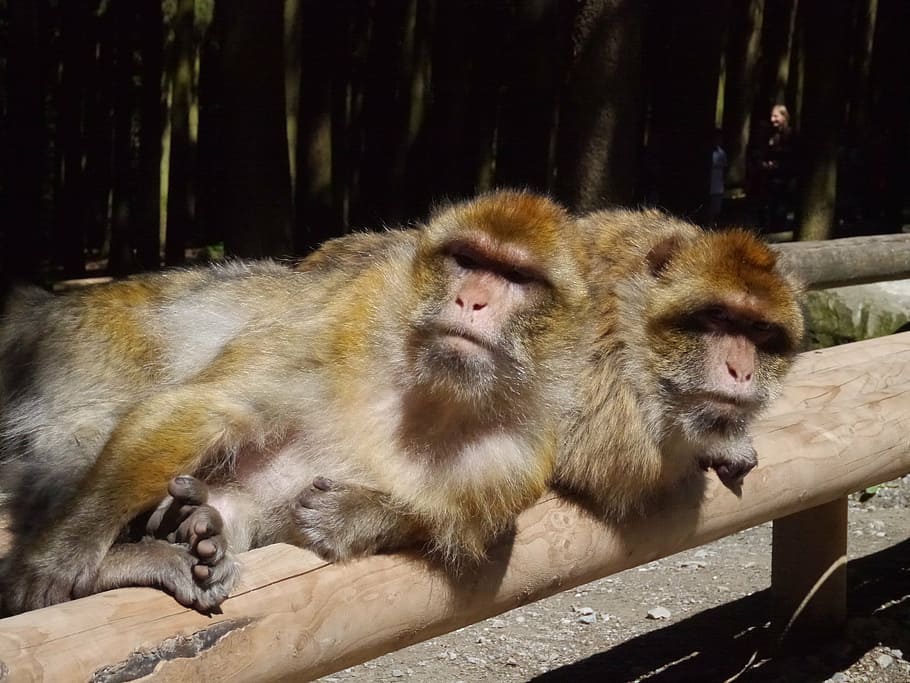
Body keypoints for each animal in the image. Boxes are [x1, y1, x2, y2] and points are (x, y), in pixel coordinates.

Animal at [0, 190, 592, 614]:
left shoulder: (518, 459)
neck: (436, 393)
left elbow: (458, 529)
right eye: (467, 259)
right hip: (72, 355)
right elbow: (205, 407)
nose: (471, 300)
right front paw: (61, 554)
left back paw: (191, 528)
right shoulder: (349, 322)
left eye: (515, 276)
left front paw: (354, 515)